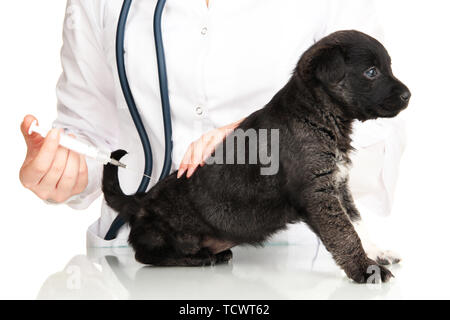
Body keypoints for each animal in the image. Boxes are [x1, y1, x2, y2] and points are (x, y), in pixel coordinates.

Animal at [103, 30, 412, 282]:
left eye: (388, 67)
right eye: (371, 72)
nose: (409, 95)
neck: (316, 113)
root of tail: (140, 202)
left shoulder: (338, 184)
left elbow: (358, 224)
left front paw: (377, 254)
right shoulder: (318, 194)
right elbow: (345, 233)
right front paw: (365, 270)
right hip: (169, 234)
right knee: (145, 254)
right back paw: (199, 258)